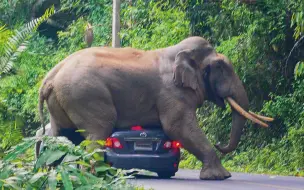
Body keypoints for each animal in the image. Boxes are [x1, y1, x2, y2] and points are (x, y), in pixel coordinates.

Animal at [38, 36, 274, 180]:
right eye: (221, 67)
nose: (219, 143)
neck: (179, 52)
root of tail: (49, 78)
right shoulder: (172, 93)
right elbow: (178, 127)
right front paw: (220, 177)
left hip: (63, 101)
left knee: (63, 135)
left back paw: (53, 173)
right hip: (85, 96)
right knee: (98, 131)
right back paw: (95, 176)